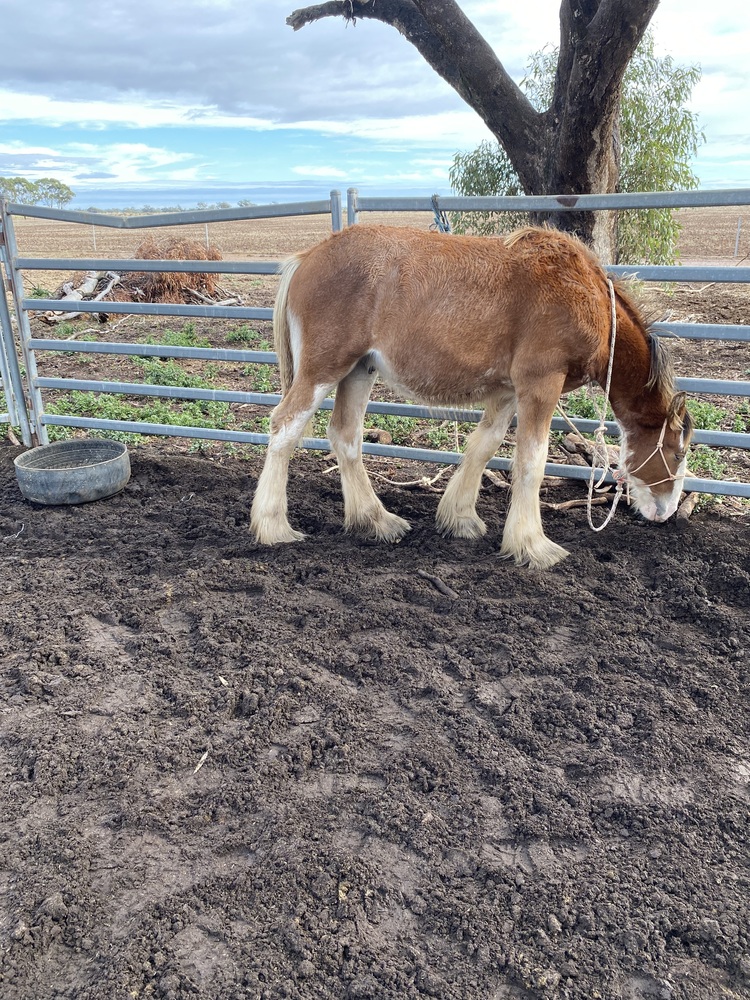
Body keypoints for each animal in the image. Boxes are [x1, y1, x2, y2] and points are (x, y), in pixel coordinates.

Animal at [250, 225, 693, 570]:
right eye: (677, 453)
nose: (666, 512)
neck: (587, 297)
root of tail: (308, 257)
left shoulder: (509, 391)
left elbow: (484, 446)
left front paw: (460, 518)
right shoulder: (540, 386)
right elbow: (532, 461)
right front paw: (533, 545)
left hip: (359, 370)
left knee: (345, 436)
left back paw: (376, 520)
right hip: (323, 370)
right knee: (285, 428)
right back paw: (273, 525)